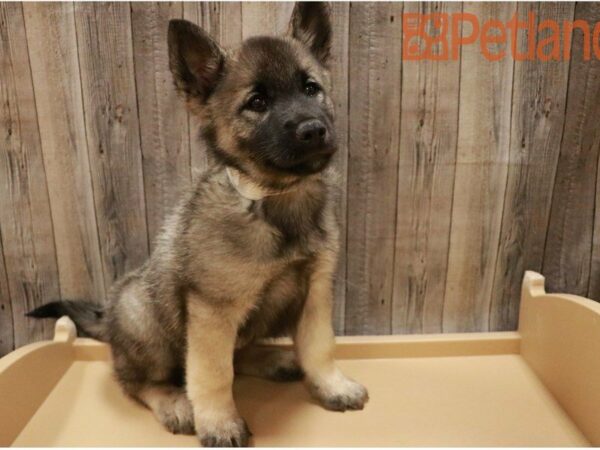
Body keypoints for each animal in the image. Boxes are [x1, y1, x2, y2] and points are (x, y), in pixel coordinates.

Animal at [30, 2, 368, 446]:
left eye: (311, 88)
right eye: (257, 101)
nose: (314, 130)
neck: (271, 200)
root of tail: (107, 319)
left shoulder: (315, 292)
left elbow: (319, 347)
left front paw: (332, 385)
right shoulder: (213, 310)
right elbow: (212, 372)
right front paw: (219, 422)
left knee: (238, 352)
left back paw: (273, 359)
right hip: (144, 318)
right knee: (135, 381)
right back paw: (175, 402)